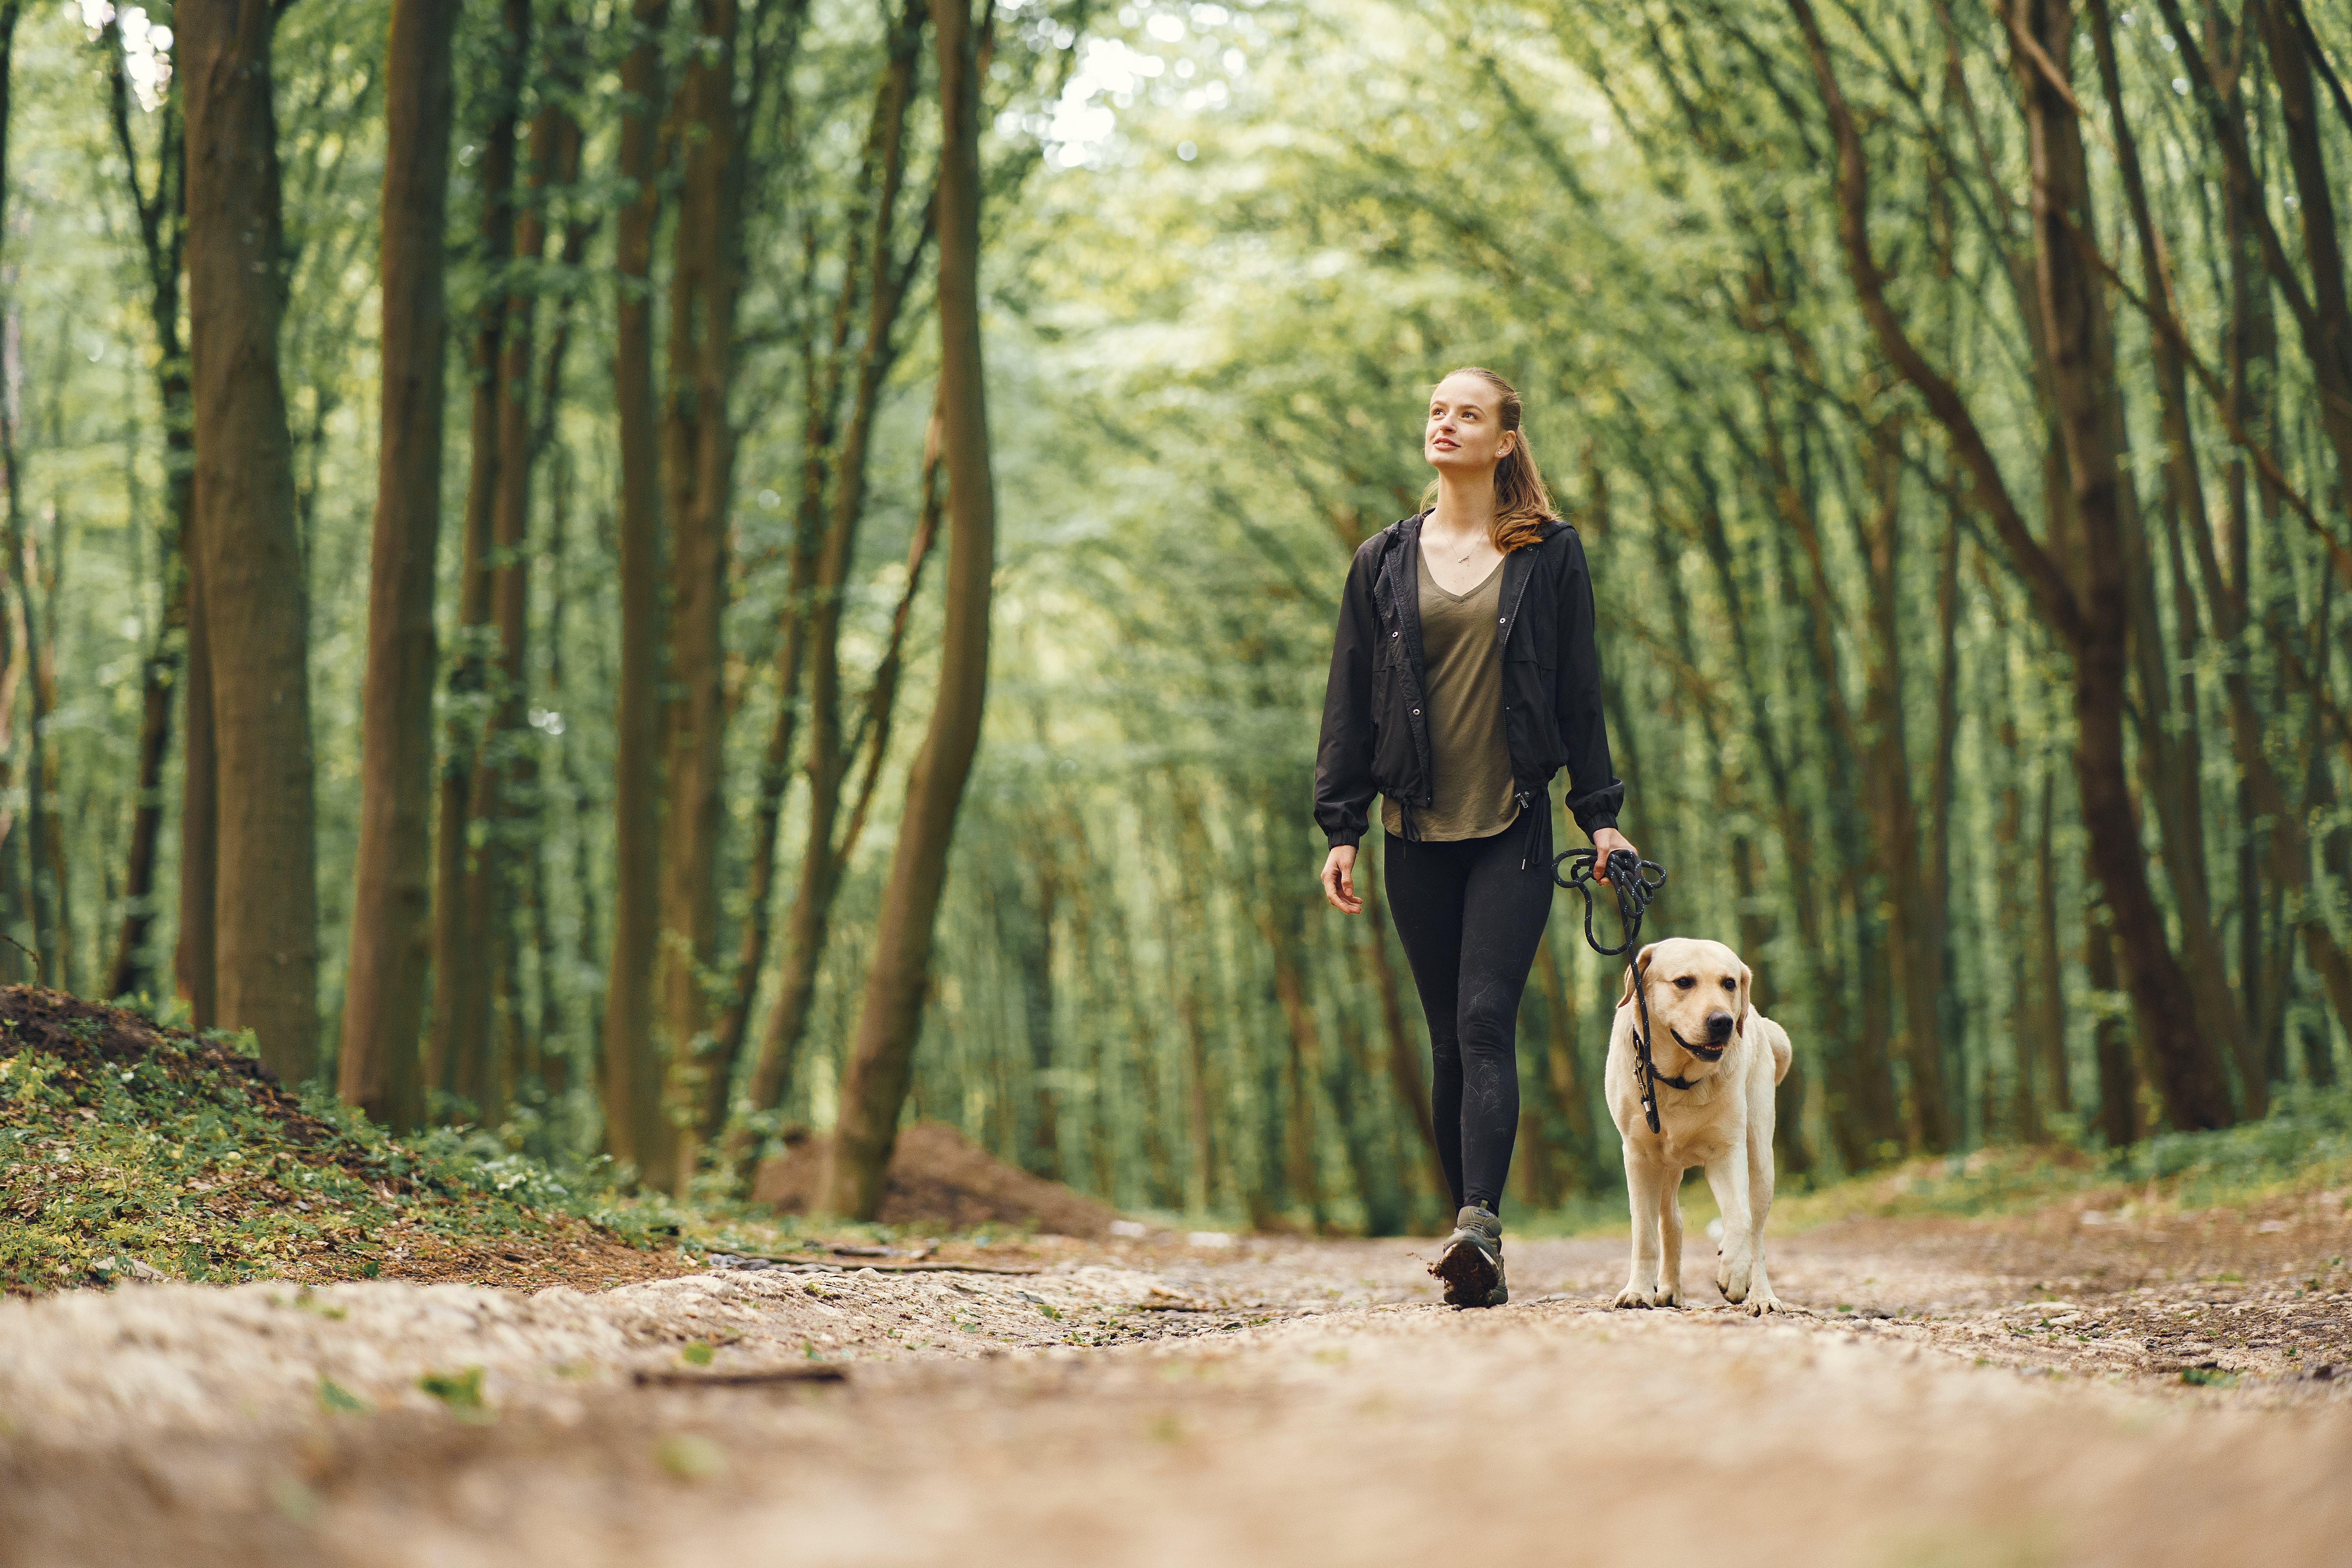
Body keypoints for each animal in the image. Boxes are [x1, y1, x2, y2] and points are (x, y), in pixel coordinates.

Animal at [1609, 945, 1788, 1316]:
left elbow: (1740, 1217)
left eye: (1729, 983)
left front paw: (1733, 1273)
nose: (1723, 1022)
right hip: (1665, 1168)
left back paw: (1762, 1296)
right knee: (1671, 1221)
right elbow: (1644, 1233)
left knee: (1757, 1232)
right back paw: (1667, 1291)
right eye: (1684, 982)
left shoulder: (1727, 1151)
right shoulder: (1639, 1157)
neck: (1679, 1080)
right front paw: (1638, 1292)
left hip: (1760, 1157)